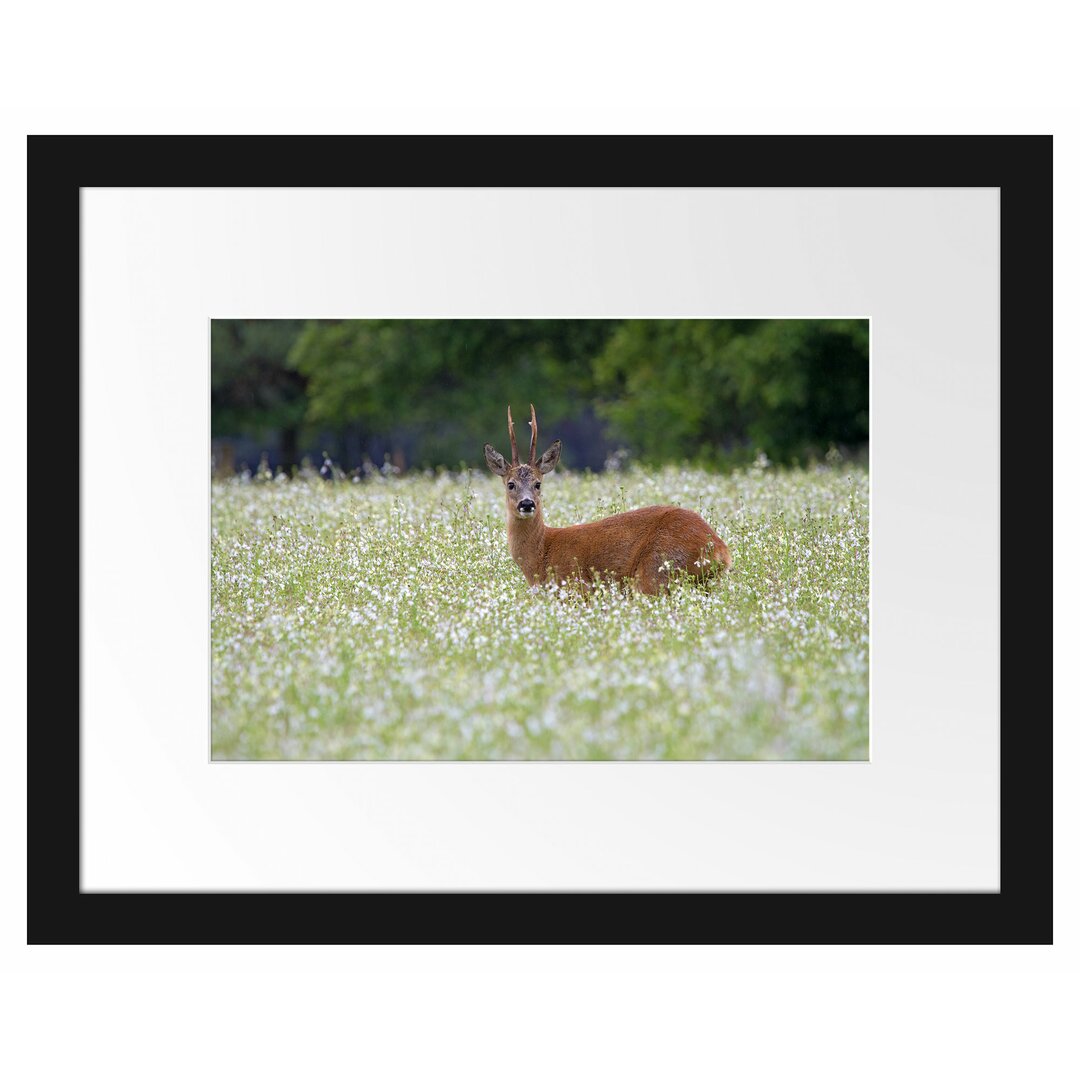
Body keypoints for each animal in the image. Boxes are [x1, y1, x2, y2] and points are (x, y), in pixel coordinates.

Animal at [483, 406, 730, 596]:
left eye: (538, 484)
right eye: (510, 484)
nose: (526, 504)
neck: (542, 553)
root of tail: (720, 550)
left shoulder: (576, 588)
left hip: (656, 572)